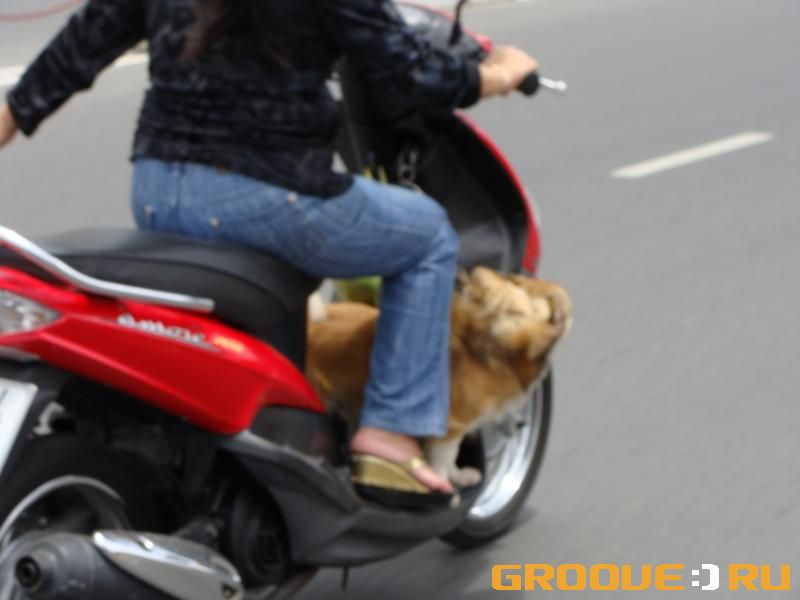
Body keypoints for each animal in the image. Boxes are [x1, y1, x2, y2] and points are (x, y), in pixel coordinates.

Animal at [306, 267, 572, 488]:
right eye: (552, 303)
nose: (566, 302)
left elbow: (449, 458)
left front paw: (458, 476)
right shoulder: (451, 426)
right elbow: (445, 458)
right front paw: (443, 483)